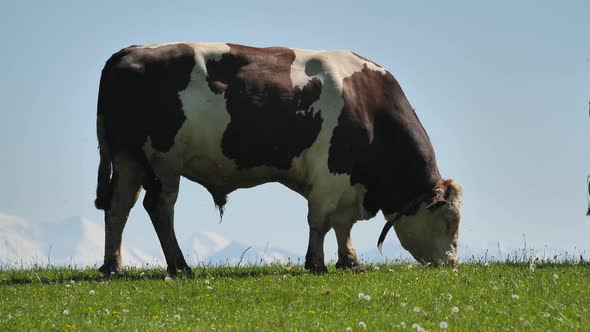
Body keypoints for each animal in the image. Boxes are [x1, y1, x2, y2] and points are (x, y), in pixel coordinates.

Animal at [95, 42, 464, 274]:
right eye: (449, 220)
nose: (451, 263)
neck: (367, 103)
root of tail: (129, 51)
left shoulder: (347, 186)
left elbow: (342, 225)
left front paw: (350, 261)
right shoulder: (329, 176)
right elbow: (320, 222)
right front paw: (316, 264)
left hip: (129, 159)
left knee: (118, 207)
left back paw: (113, 266)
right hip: (163, 161)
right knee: (159, 208)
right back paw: (179, 266)